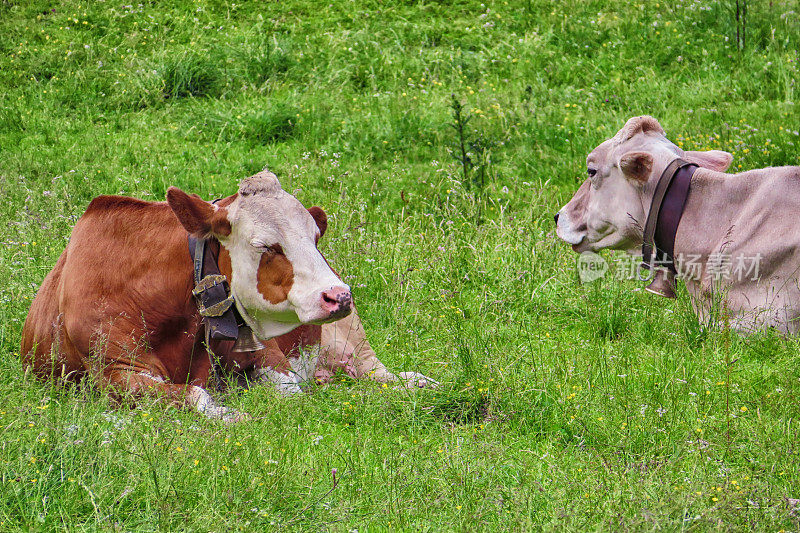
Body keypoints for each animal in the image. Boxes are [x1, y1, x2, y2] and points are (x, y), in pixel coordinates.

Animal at [25, 170, 434, 420]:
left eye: (315, 238)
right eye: (267, 246)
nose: (338, 296)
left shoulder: (269, 356)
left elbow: (291, 393)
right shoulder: (115, 372)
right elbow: (197, 396)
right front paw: (230, 413)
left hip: (350, 339)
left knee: (378, 374)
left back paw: (416, 383)